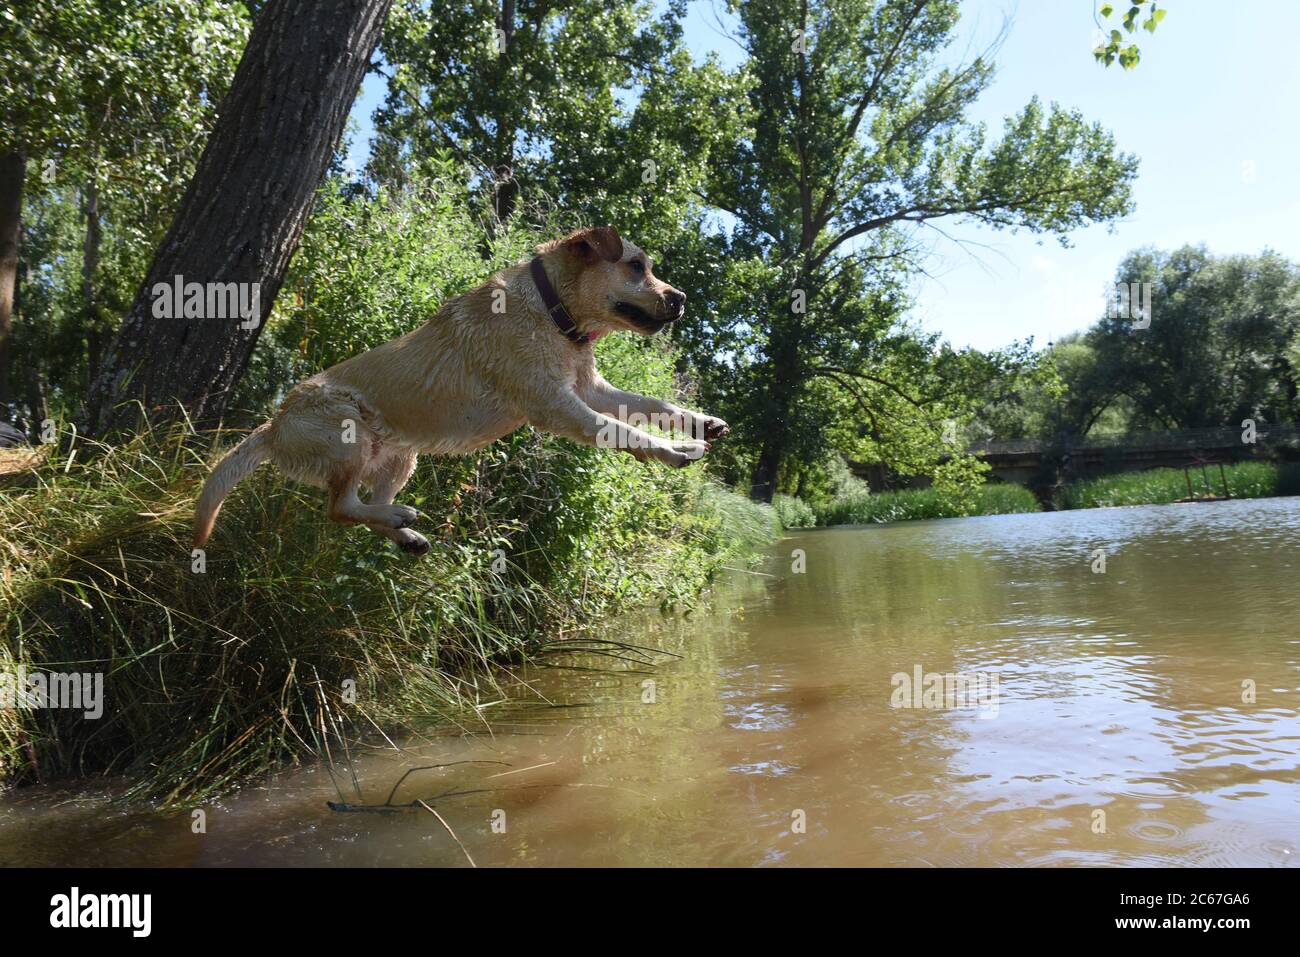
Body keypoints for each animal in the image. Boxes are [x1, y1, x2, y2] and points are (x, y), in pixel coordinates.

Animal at [189, 228, 728, 556]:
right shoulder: (557, 405)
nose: (681, 298)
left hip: (401, 457)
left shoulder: (589, 388)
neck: (552, 312)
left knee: (354, 506)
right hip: (348, 432)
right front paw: (676, 451)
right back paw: (401, 517)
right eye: (636, 266)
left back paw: (404, 531)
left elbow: (650, 405)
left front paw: (700, 423)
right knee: (339, 507)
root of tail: (272, 424)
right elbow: (623, 430)